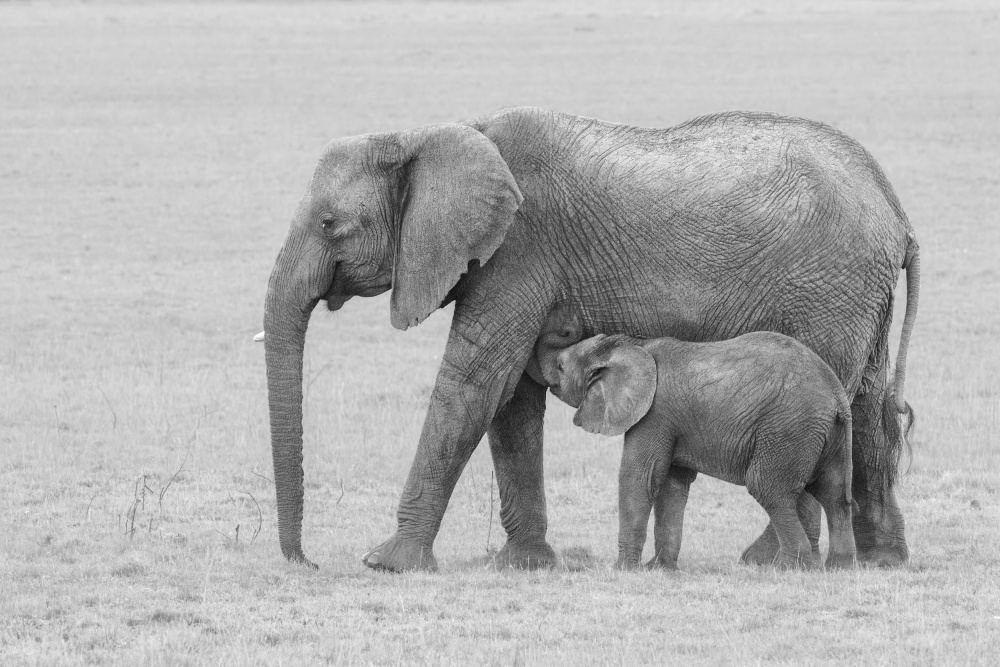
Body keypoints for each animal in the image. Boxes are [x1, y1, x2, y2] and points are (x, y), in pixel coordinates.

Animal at [552, 332, 856, 572]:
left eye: (560, 367)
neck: (635, 344)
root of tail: (836, 394)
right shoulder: (674, 422)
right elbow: (672, 486)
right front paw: (660, 569)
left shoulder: (655, 414)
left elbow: (640, 477)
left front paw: (624, 569)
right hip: (827, 436)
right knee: (834, 495)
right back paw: (838, 567)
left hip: (788, 429)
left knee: (769, 488)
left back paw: (790, 568)